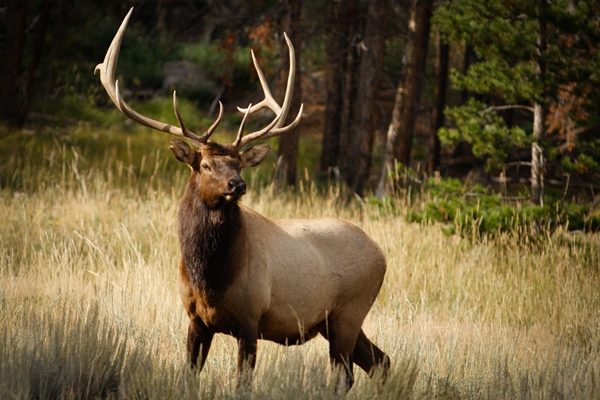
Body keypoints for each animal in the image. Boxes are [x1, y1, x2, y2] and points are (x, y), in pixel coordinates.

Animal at [95, 7, 390, 392]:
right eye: (205, 164)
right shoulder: (196, 320)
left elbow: (242, 384)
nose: (238, 184)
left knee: (348, 375)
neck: (210, 279)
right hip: (335, 322)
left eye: (237, 163)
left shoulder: (251, 320)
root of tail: (381, 254)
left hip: (349, 311)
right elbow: (189, 376)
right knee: (381, 361)